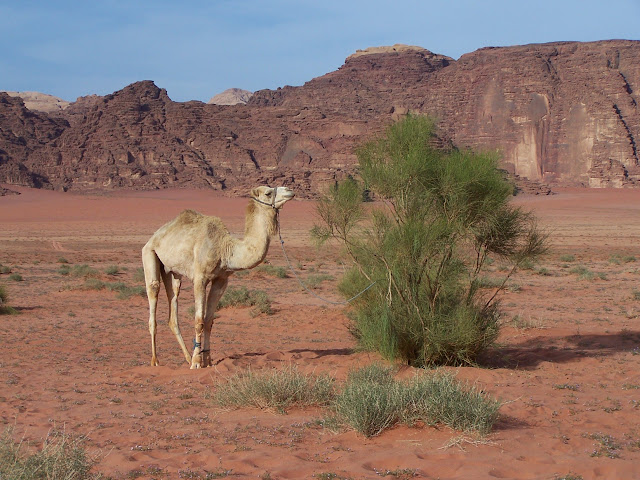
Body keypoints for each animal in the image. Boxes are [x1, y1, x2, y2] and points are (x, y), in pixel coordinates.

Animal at [141, 186, 294, 370]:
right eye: (268, 192)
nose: (289, 190)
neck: (225, 249)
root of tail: (155, 236)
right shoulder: (200, 278)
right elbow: (199, 320)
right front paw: (197, 362)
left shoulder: (221, 280)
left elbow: (209, 320)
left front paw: (207, 360)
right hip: (149, 254)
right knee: (153, 293)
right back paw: (155, 360)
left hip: (172, 272)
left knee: (173, 303)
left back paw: (186, 357)